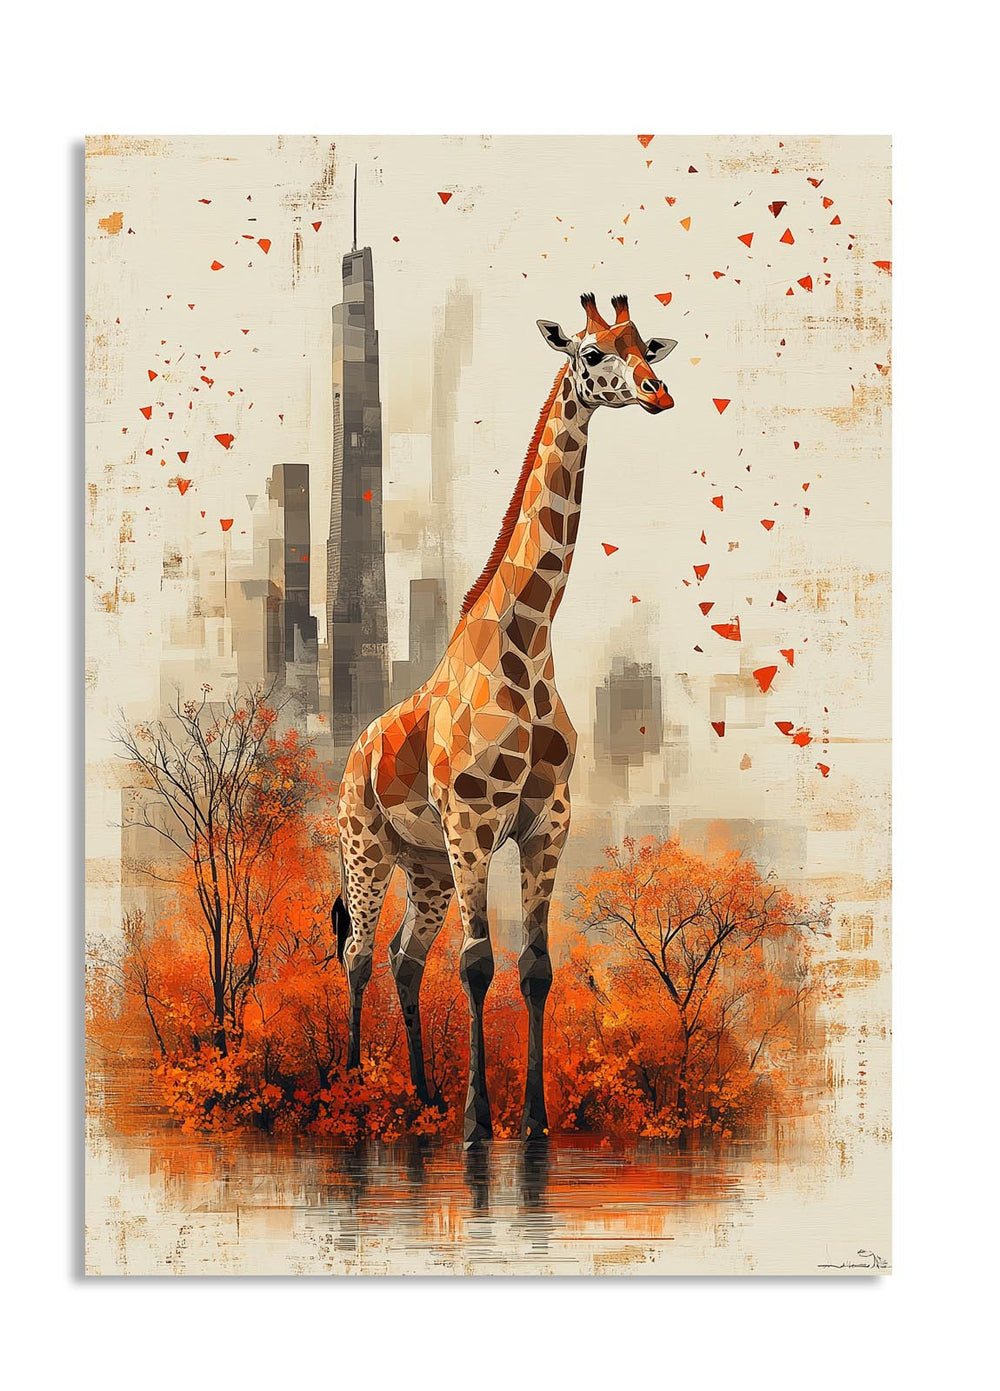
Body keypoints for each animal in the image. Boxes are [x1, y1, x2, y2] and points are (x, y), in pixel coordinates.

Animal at [333, 292, 677, 1143]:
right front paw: (477, 1122)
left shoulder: (546, 819)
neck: (527, 641)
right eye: (591, 354)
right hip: (367, 847)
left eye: (645, 346)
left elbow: (534, 966)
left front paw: (533, 1121)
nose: (658, 392)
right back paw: (354, 1088)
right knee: (359, 953)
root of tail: (351, 753)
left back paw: (420, 1092)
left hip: (423, 866)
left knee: (404, 957)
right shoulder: (473, 820)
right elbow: (478, 963)